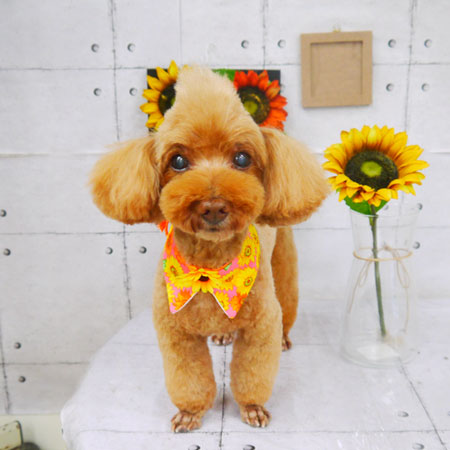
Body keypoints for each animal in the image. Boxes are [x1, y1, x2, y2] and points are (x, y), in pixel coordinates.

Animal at [89, 66, 329, 432]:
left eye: (242, 157)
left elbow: (252, 373)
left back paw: (285, 338)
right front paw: (190, 413)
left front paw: (252, 408)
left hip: (284, 265)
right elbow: (190, 378)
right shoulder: (176, 334)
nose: (213, 206)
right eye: (178, 160)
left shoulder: (261, 327)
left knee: (288, 303)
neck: (210, 269)